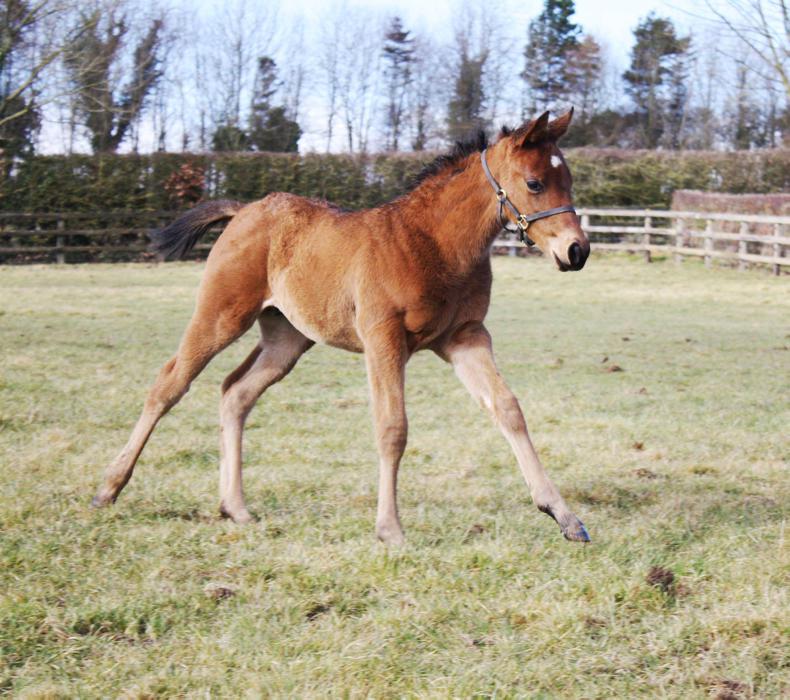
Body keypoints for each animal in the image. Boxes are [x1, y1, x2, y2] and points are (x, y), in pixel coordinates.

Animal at [92, 109, 591, 545]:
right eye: (534, 183)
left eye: (568, 179)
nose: (577, 251)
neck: (433, 242)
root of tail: (245, 209)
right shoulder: (383, 338)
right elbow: (392, 427)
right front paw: (390, 529)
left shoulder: (466, 336)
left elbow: (507, 408)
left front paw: (563, 516)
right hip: (221, 314)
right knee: (169, 384)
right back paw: (109, 488)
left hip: (287, 338)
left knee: (235, 392)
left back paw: (235, 507)